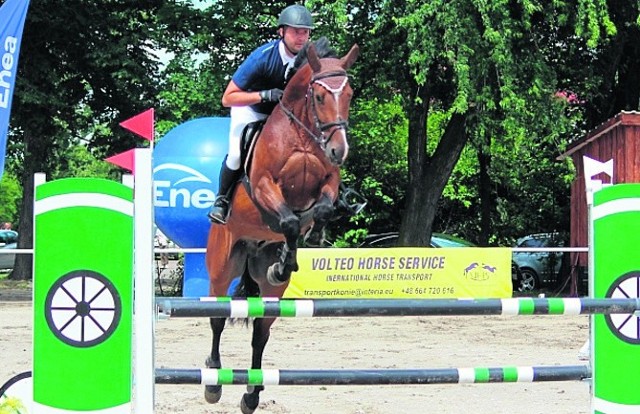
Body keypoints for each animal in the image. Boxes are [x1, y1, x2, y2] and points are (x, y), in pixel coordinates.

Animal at [204, 39, 358, 414]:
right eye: (319, 96)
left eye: (349, 93)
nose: (339, 150)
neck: (302, 133)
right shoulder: (264, 187)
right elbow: (287, 219)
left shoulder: (328, 183)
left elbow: (319, 209)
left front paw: (303, 243)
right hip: (221, 267)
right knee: (217, 318)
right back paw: (213, 381)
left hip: (271, 290)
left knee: (261, 331)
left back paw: (251, 394)